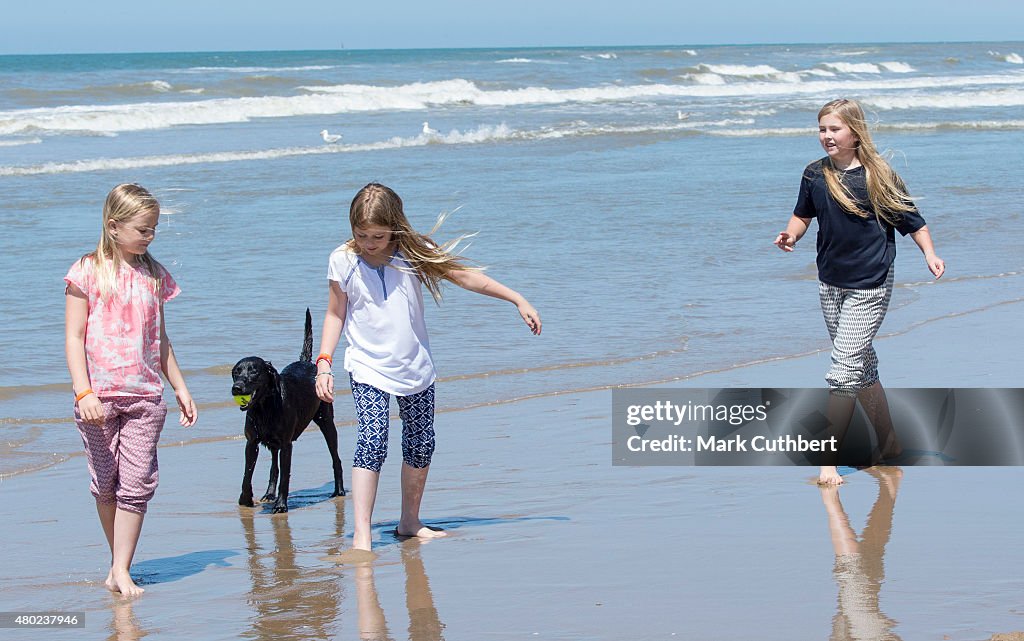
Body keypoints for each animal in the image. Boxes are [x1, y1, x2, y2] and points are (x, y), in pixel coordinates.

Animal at [230, 307, 346, 511]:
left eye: (254, 371)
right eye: (236, 372)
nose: (237, 387)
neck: (264, 408)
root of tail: (307, 362)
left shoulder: (286, 445)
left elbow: (285, 475)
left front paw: (281, 505)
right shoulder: (251, 443)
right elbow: (247, 473)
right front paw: (245, 499)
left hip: (326, 422)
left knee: (336, 458)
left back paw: (338, 490)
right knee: (274, 468)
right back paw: (269, 494)